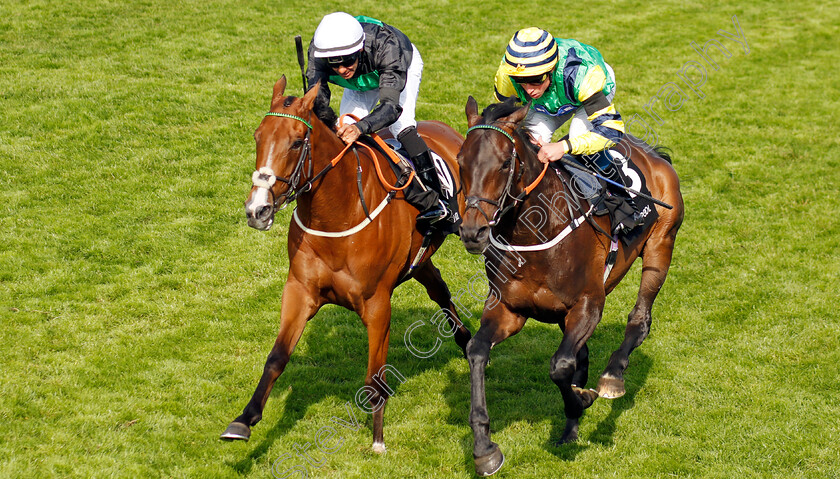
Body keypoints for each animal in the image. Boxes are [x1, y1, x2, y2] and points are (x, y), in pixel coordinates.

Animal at [220, 76, 472, 454]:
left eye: (297, 142)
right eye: (257, 136)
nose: (257, 210)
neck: (337, 213)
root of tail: (447, 129)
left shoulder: (378, 305)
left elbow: (375, 376)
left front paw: (378, 439)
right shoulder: (299, 291)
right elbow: (276, 357)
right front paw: (243, 420)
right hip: (419, 260)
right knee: (439, 289)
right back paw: (466, 340)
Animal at [460, 97, 684, 476]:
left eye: (504, 162)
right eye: (461, 161)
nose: (473, 232)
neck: (536, 233)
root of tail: (653, 154)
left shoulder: (589, 303)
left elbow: (560, 365)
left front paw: (583, 398)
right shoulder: (508, 309)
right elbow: (476, 350)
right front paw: (484, 450)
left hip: (660, 246)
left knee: (639, 320)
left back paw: (612, 376)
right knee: (584, 353)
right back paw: (570, 428)